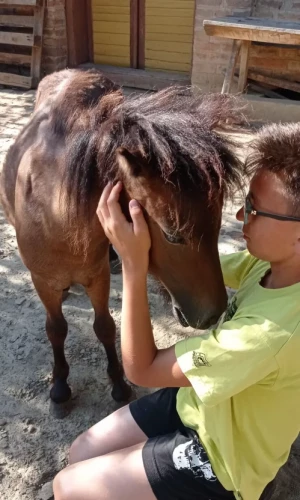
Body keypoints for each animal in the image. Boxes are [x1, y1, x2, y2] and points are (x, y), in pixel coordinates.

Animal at [0, 69, 244, 406]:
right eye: (173, 236)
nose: (214, 314)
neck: (54, 210)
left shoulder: (97, 276)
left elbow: (104, 326)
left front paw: (118, 381)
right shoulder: (42, 281)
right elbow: (56, 329)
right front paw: (60, 384)